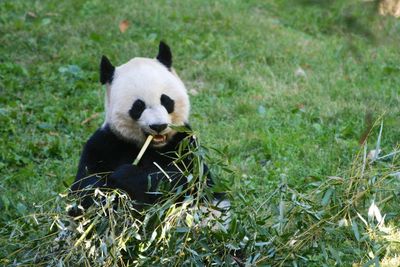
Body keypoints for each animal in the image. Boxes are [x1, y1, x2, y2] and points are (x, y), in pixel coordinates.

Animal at [70, 42, 227, 214]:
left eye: (166, 100)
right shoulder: (104, 144)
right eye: (138, 106)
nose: (158, 126)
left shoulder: (186, 144)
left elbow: (190, 179)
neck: (153, 147)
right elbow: (84, 188)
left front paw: (124, 175)